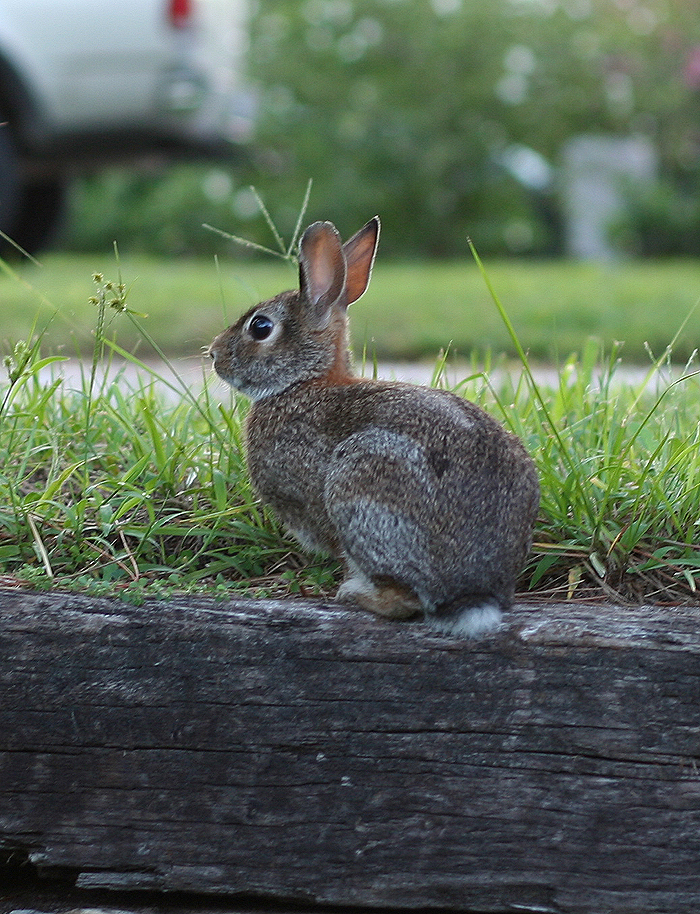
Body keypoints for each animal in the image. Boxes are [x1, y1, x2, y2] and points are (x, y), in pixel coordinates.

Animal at [208, 217, 540, 636]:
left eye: (260, 327)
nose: (214, 354)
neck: (304, 382)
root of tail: (471, 595)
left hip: (362, 483)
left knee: (403, 600)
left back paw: (354, 595)